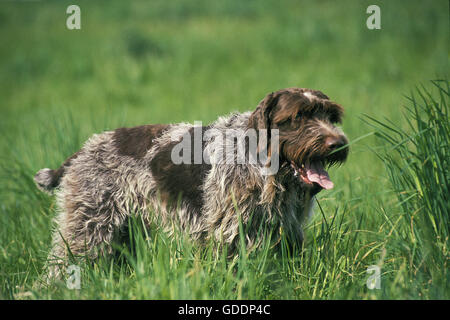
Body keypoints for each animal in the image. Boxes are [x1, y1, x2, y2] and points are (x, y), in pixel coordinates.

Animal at [35, 87, 350, 278]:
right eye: (298, 116)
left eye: (330, 116)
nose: (338, 144)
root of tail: (82, 151)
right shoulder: (229, 234)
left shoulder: (285, 231)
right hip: (87, 229)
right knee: (60, 266)